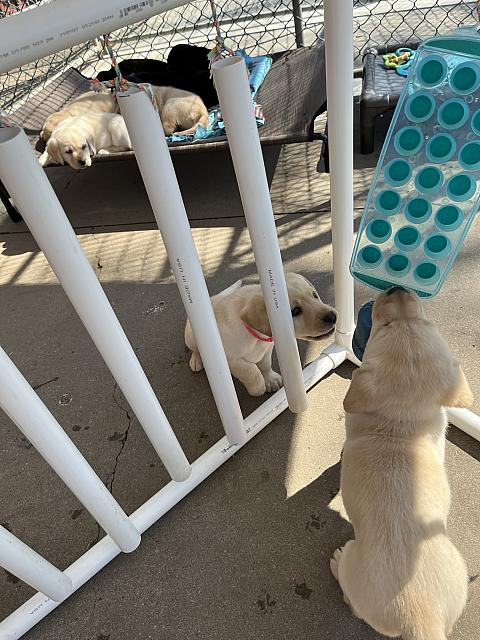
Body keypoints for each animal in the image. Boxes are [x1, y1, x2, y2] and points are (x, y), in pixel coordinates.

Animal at [185, 274, 338, 398]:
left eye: (314, 295)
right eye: (295, 311)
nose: (332, 317)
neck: (255, 336)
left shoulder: (267, 349)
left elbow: (265, 365)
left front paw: (270, 379)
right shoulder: (231, 358)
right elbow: (250, 371)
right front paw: (258, 388)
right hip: (190, 337)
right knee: (195, 349)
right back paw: (197, 359)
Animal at [332, 288, 470, 640]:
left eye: (383, 325)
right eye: (425, 321)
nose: (398, 289)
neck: (399, 423)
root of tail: (423, 617)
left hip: (354, 560)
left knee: (351, 598)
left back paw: (336, 565)